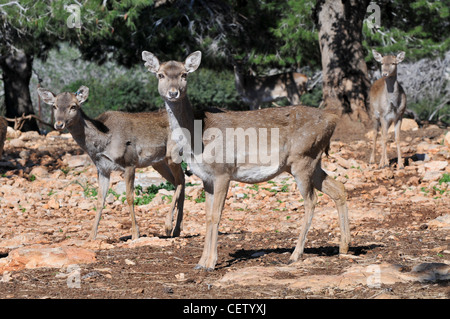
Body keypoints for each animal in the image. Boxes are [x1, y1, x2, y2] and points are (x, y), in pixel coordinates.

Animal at [36, 86, 185, 241]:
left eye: (73, 106)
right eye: (54, 106)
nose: (59, 124)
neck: (103, 143)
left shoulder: (130, 162)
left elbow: (130, 197)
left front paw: (135, 233)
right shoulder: (102, 169)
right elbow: (100, 200)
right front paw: (91, 237)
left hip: (173, 154)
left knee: (180, 180)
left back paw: (168, 226)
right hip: (158, 162)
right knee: (180, 180)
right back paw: (176, 229)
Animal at [142, 51, 350, 272]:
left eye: (184, 74)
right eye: (160, 75)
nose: (173, 93)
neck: (198, 138)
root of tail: (333, 120)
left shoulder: (223, 171)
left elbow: (216, 215)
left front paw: (211, 263)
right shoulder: (206, 178)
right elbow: (207, 216)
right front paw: (200, 262)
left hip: (303, 158)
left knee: (311, 200)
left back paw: (295, 255)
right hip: (311, 162)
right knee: (338, 188)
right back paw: (344, 246)